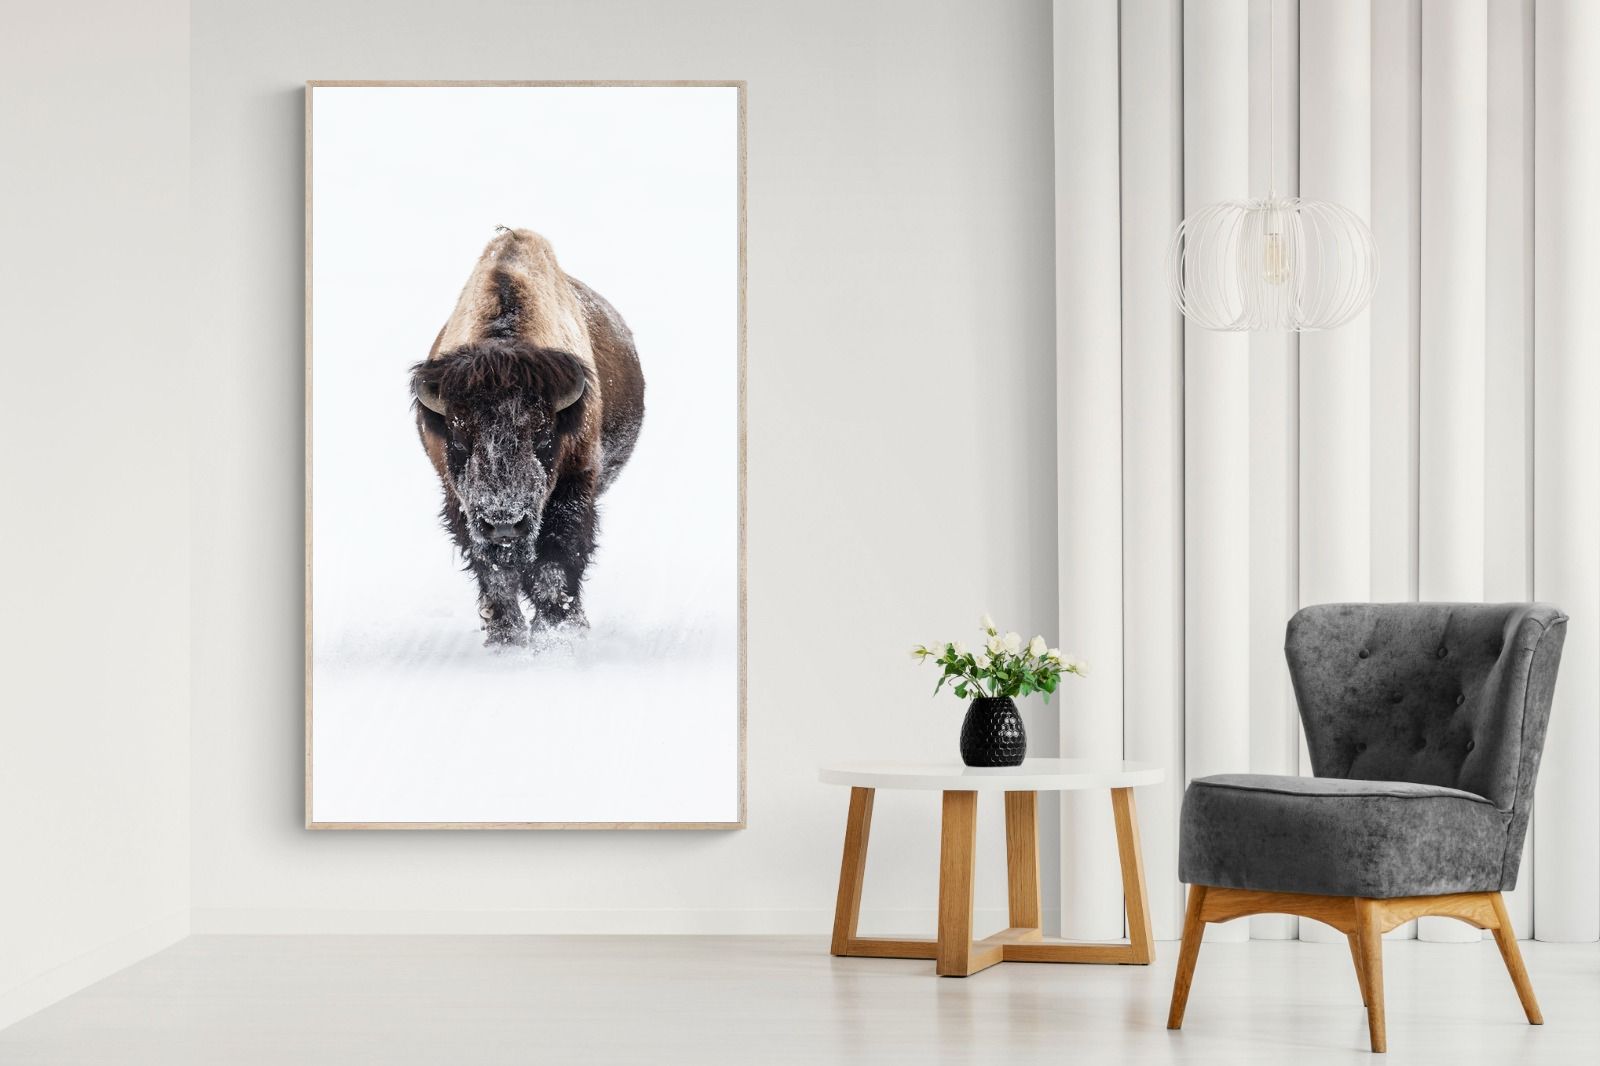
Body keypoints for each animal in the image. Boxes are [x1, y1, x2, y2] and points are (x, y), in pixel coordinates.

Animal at [411, 228, 645, 646]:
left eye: (544, 436)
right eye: (459, 438)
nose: (505, 523)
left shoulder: (574, 485)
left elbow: (556, 562)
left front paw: (558, 632)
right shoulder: (460, 502)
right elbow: (494, 572)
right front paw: (505, 636)